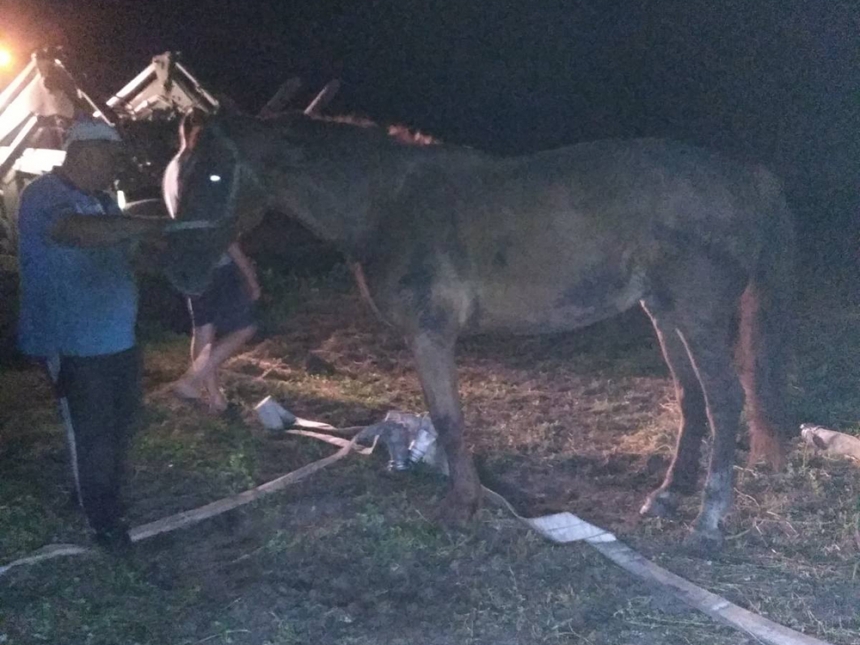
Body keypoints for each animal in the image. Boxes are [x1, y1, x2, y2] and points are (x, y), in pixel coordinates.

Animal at [160, 112, 792, 548]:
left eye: (214, 174)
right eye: (175, 177)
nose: (183, 273)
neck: (388, 204)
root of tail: (747, 177)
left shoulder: (430, 336)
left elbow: (449, 419)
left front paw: (459, 507)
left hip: (696, 316)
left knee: (724, 400)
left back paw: (708, 523)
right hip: (663, 312)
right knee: (691, 398)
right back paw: (668, 497)